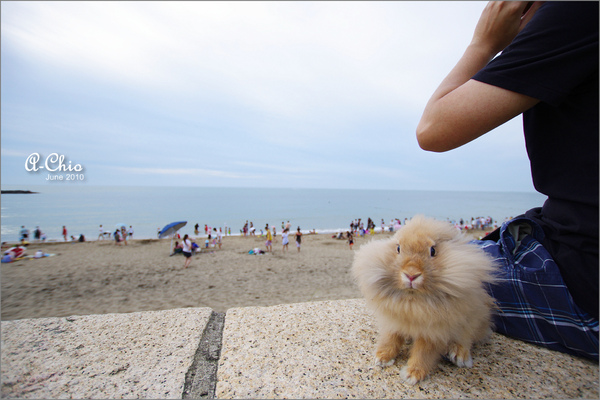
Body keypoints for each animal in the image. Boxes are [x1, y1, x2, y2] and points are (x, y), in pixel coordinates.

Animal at [352, 214, 496, 386]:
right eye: (398, 248)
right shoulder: (393, 321)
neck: (412, 301)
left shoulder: (433, 332)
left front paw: (412, 374)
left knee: (467, 336)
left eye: (433, 250)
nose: (411, 274)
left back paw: (459, 355)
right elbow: (390, 338)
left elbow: (423, 353)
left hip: (475, 317)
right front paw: (382, 358)